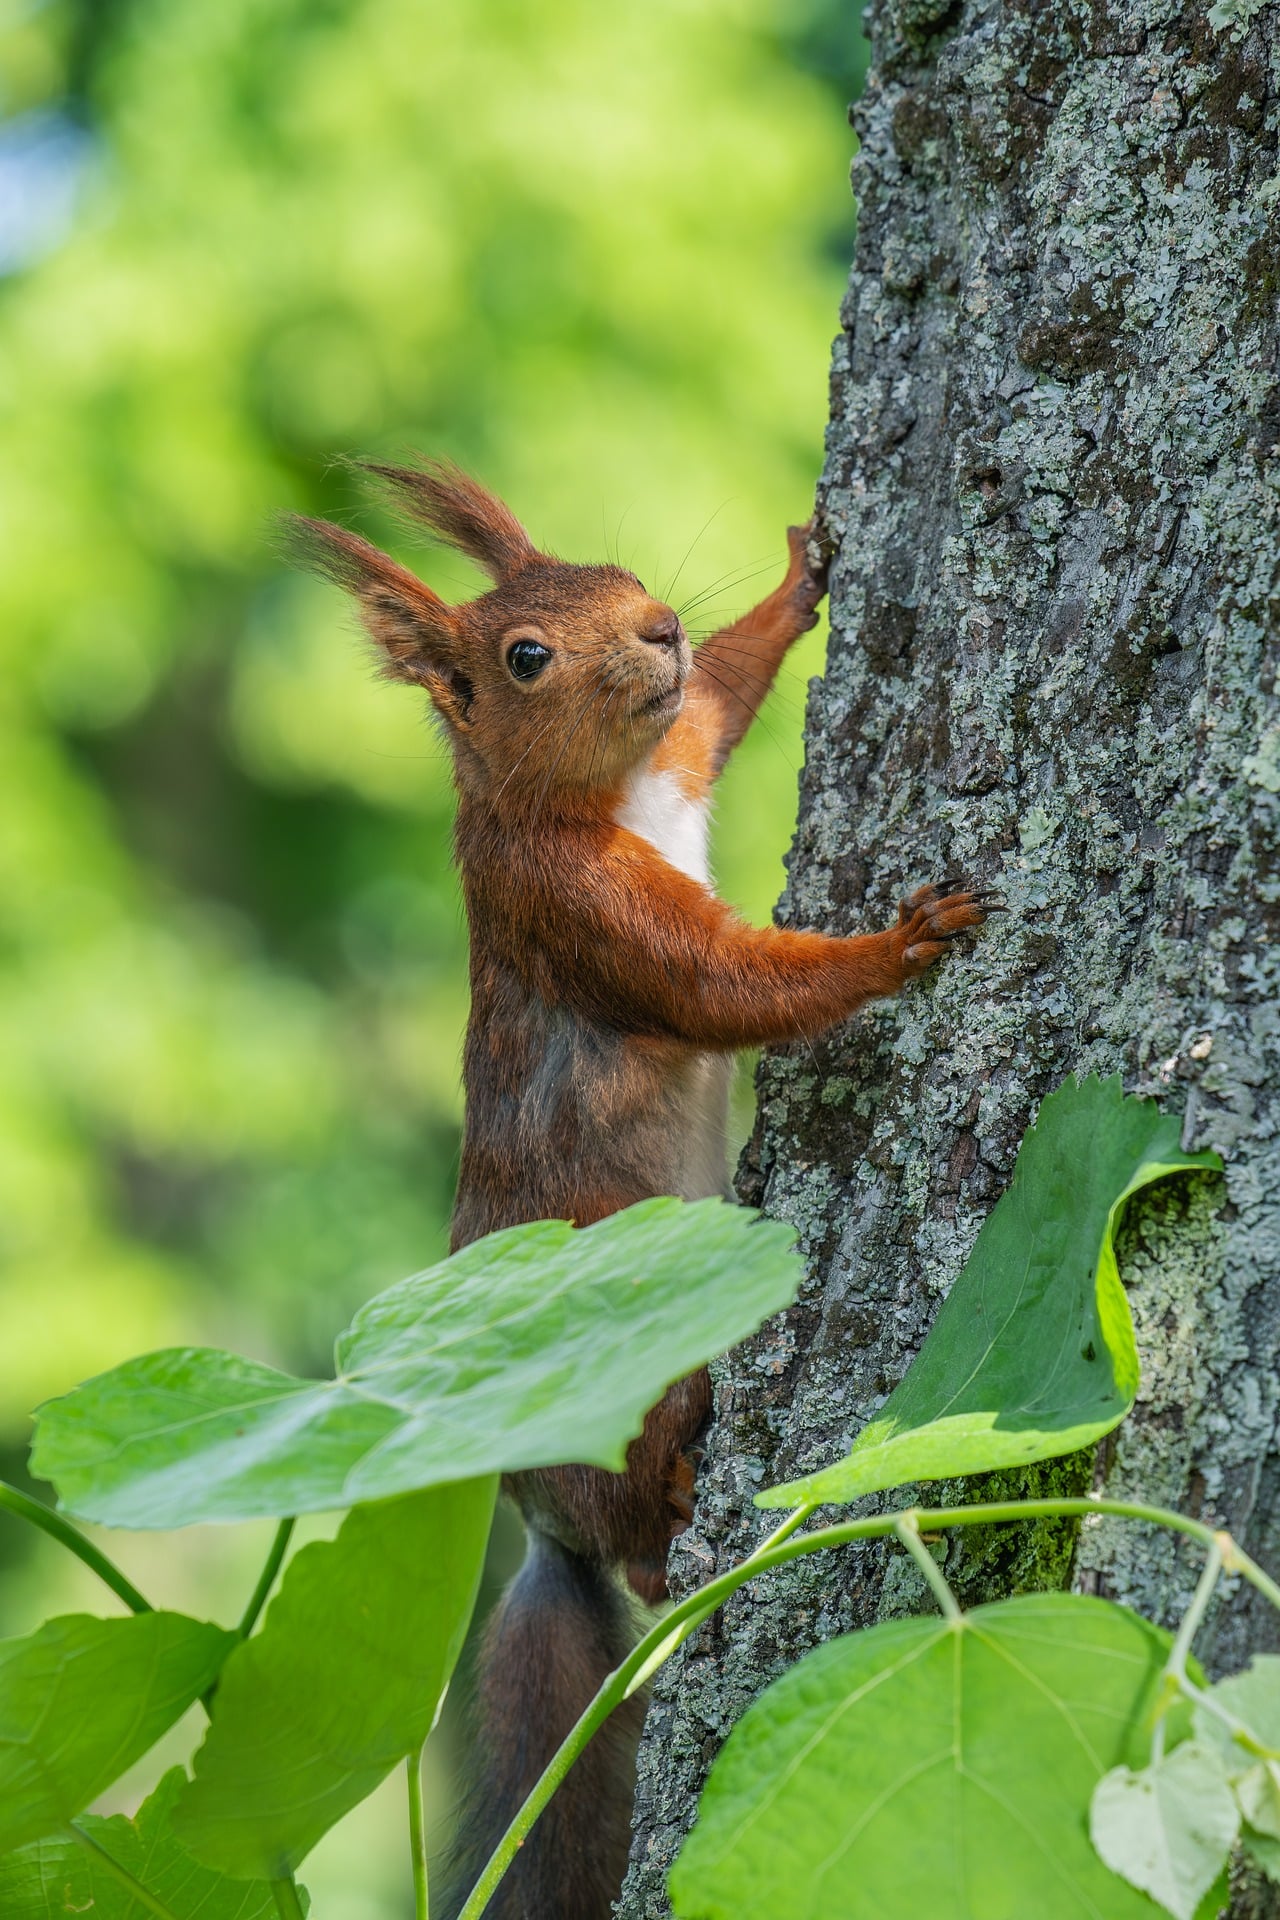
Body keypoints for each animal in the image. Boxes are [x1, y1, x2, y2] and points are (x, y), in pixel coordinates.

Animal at [291, 461, 994, 1920]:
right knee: (642, 1551)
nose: (657, 626)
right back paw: (673, 1506)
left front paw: (795, 576)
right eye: (524, 656)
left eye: (614, 574)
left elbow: (722, 700)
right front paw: (900, 943)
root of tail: (538, 1517)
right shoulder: (578, 910)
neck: (596, 793)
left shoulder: (681, 748)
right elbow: (732, 986)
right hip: (648, 1370)